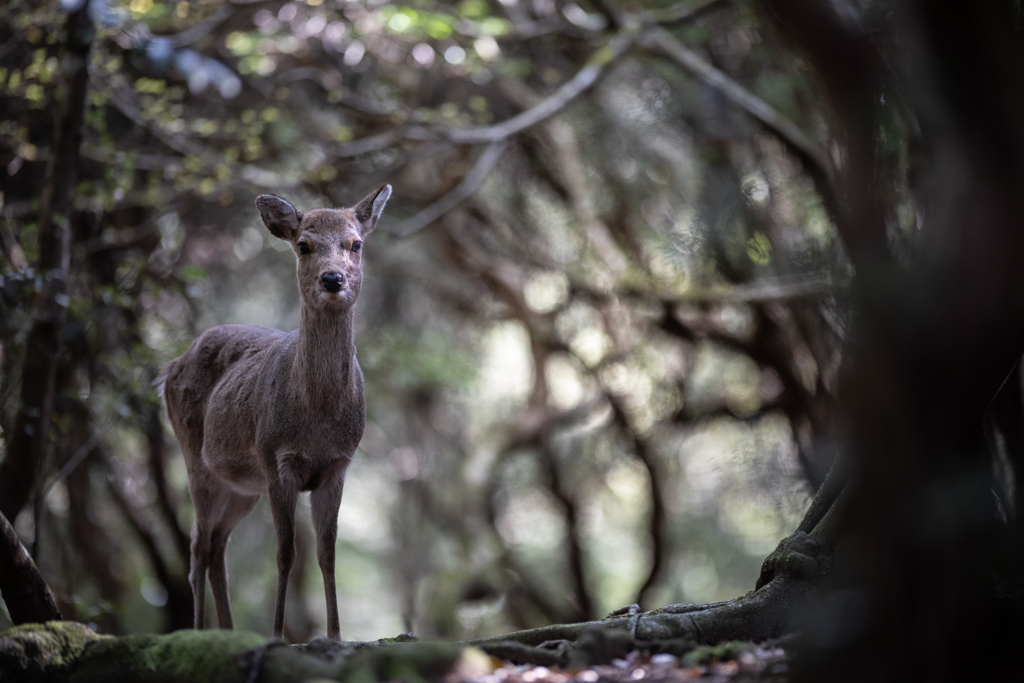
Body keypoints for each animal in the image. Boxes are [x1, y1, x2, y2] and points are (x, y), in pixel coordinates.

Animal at [161, 184, 389, 638]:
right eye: (303, 245)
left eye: (355, 243)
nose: (332, 278)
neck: (317, 417)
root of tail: (168, 369)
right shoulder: (275, 459)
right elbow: (285, 553)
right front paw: (278, 634)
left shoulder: (338, 466)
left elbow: (327, 553)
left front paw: (335, 635)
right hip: (196, 457)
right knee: (198, 547)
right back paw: (198, 631)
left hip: (243, 485)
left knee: (217, 546)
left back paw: (227, 632)